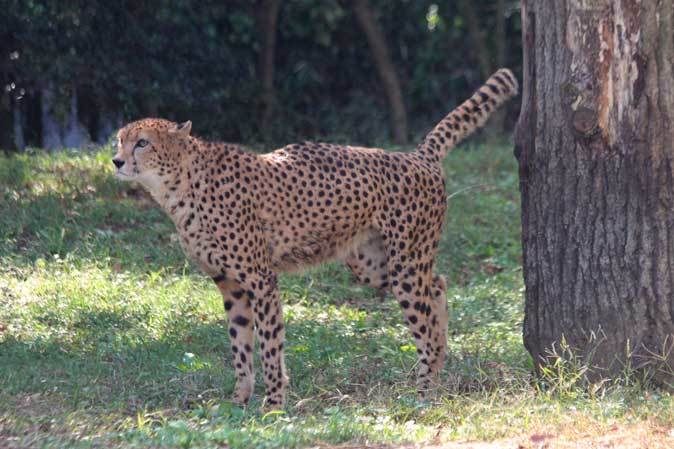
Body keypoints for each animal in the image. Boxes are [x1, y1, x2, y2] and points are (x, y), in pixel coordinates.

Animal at [113, 69, 516, 406]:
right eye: (119, 140)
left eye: (143, 143)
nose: (116, 161)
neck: (179, 186)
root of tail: (419, 156)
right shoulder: (230, 283)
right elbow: (240, 346)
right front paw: (238, 401)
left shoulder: (260, 279)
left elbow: (269, 345)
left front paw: (274, 405)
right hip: (374, 265)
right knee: (438, 285)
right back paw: (438, 361)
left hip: (405, 263)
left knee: (425, 313)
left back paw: (426, 386)